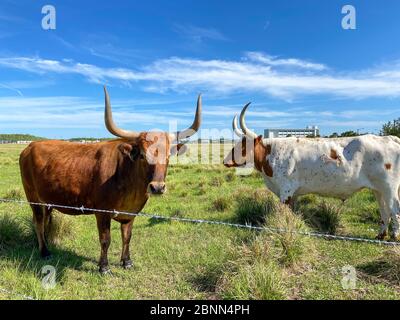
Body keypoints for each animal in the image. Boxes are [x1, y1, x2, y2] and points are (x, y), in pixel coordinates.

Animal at [19, 86, 202, 274]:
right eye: (142, 155)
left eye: (168, 156)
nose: (157, 187)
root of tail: (30, 146)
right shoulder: (102, 212)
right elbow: (105, 239)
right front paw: (104, 266)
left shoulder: (131, 213)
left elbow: (127, 236)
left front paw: (127, 261)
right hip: (32, 197)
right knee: (38, 222)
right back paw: (44, 251)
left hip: (47, 200)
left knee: (45, 221)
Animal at [223, 103, 400, 240]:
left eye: (244, 146)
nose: (225, 161)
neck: (271, 153)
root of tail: (389, 138)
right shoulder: (292, 194)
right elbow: (292, 213)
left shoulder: (286, 191)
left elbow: (284, 213)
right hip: (378, 189)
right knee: (384, 210)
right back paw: (381, 235)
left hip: (389, 188)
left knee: (394, 209)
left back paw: (394, 236)